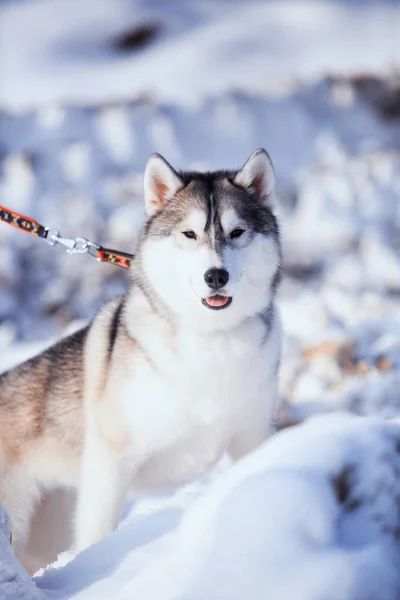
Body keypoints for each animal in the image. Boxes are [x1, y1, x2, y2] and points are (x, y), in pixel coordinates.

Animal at [0, 148, 282, 568]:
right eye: (189, 234)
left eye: (236, 232)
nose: (216, 276)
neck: (210, 337)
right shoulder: (110, 461)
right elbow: (98, 533)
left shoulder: (252, 436)